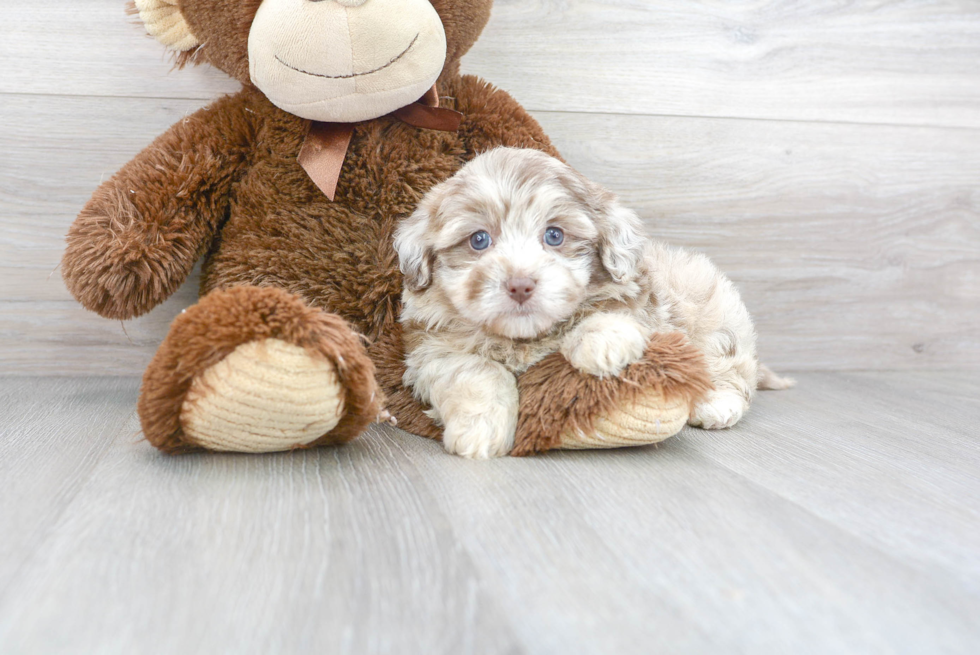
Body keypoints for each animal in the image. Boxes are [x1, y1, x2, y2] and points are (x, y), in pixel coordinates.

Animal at [394, 147, 792, 462]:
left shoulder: (640, 299)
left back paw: (717, 403)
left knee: (730, 365)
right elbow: (475, 372)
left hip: (713, 310)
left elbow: (609, 312)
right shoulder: (431, 348)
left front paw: (602, 342)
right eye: (478, 240)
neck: (525, 338)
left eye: (554, 235)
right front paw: (479, 430)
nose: (520, 284)